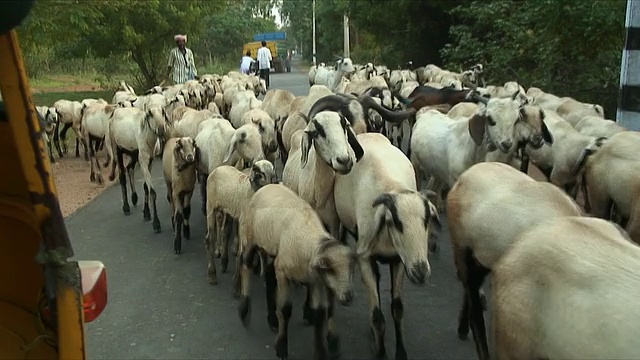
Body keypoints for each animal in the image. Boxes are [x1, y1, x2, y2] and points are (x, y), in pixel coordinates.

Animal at [236, 183, 356, 360]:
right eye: (330, 269)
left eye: (351, 269)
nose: (348, 297)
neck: (311, 244)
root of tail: (267, 186)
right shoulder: (283, 272)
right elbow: (285, 309)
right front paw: (281, 347)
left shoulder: (314, 279)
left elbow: (319, 314)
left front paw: (320, 351)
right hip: (251, 237)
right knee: (246, 265)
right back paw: (244, 310)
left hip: (273, 250)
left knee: (269, 277)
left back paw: (272, 320)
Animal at [336, 132, 440, 360]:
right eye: (396, 222)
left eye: (426, 219)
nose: (421, 272)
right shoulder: (365, 258)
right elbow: (377, 316)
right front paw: (381, 352)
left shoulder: (399, 260)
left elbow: (397, 309)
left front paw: (400, 352)